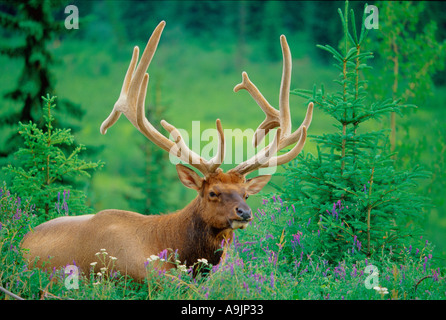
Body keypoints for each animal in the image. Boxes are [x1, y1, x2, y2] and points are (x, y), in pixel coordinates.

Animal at [20, 20, 314, 280]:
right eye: (213, 192)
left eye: (246, 194)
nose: (244, 213)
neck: (170, 244)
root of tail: (21, 240)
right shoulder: (134, 268)